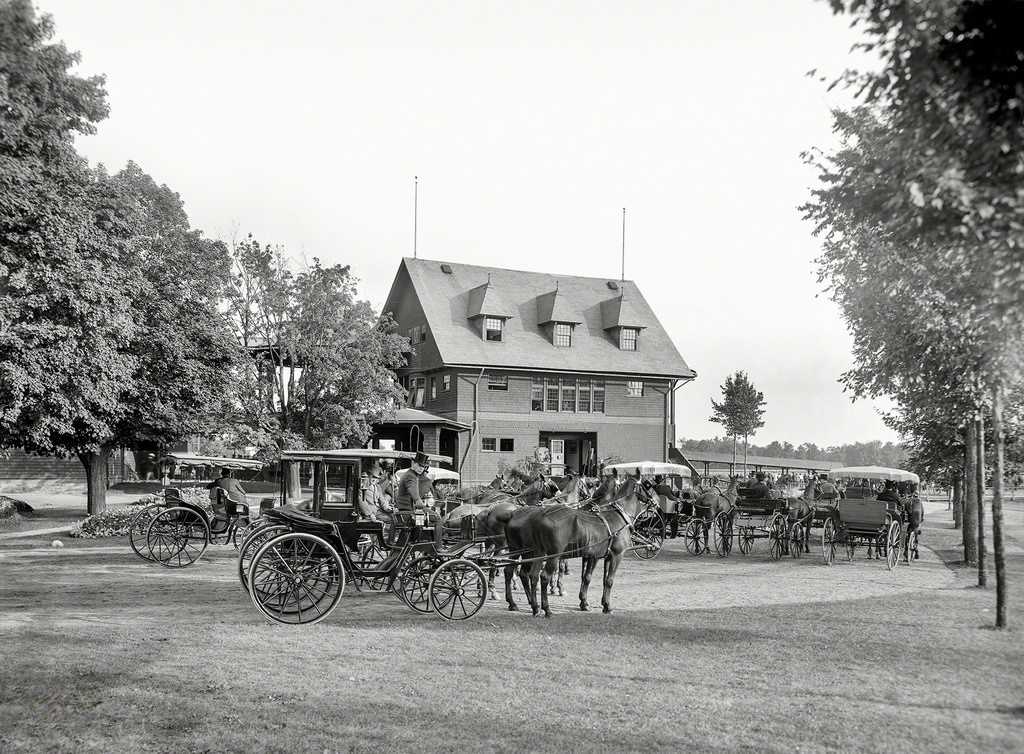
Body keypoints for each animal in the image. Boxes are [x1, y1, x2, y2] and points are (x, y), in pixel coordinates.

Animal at [499, 477, 651, 618]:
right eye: (647, 485)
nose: (653, 501)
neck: (617, 516)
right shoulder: (615, 556)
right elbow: (608, 580)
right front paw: (606, 606)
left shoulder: (598, 556)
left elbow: (590, 577)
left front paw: (589, 603)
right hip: (549, 554)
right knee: (542, 576)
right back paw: (545, 609)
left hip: (531, 552)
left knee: (527, 574)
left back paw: (532, 606)